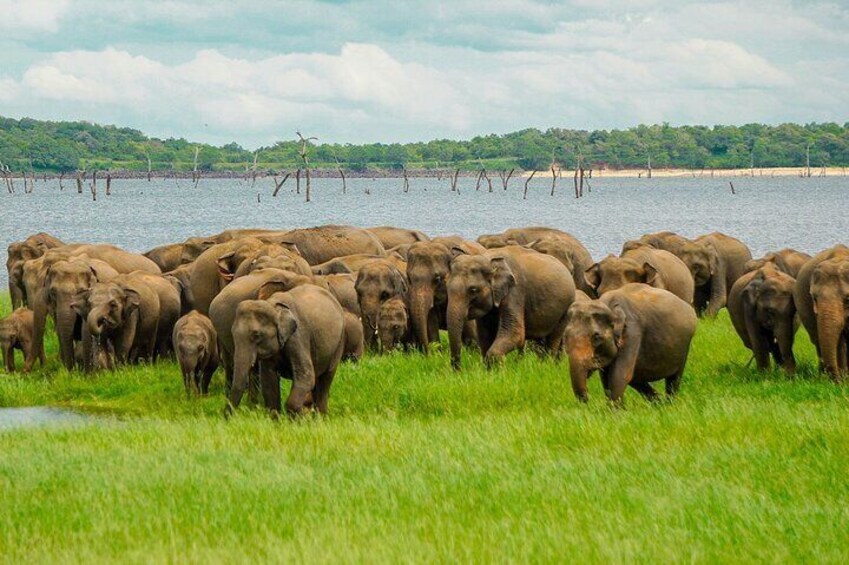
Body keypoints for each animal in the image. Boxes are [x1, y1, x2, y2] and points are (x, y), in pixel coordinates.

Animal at [227, 285, 346, 417]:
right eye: (232, 333)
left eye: (256, 335)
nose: (226, 417)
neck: (273, 306)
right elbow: (268, 381)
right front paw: (277, 420)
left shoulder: (298, 337)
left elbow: (306, 376)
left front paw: (299, 417)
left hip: (339, 341)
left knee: (325, 379)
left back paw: (321, 418)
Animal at [447, 246, 576, 370]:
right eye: (448, 287)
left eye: (473, 290)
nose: (458, 370)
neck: (489, 258)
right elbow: (484, 335)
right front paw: (490, 371)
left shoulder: (515, 290)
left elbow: (515, 333)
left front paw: (499, 369)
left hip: (567, 308)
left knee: (552, 340)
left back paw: (547, 365)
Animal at [565, 284, 697, 403]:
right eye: (566, 336)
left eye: (596, 337)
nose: (589, 400)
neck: (609, 306)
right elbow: (606, 378)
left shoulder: (632, 333)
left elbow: (619, 375)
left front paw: (616, 412)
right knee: (636, 379)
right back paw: (659, 404)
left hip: (684, 347)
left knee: (674, 379)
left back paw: (669, 404)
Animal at [793, 245, 849, 379]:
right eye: (814, 298)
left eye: (848, 299)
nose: (836, 380)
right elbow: (840, 341)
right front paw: (842, 380)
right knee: (817, 341)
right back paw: (822, 377)